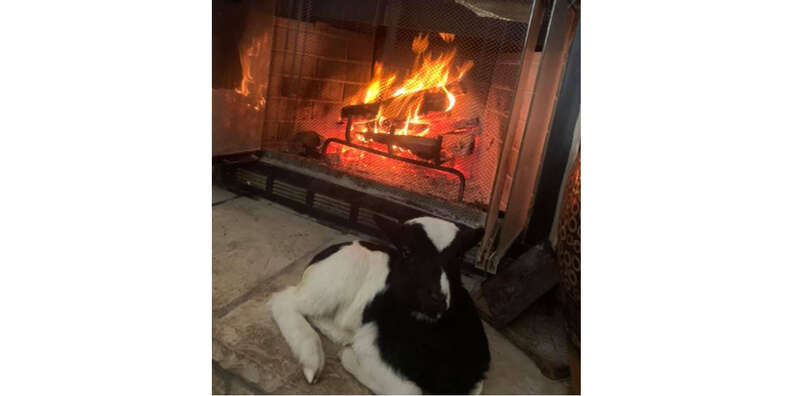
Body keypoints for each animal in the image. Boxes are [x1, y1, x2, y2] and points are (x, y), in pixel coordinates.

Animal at [270, 215, 488, 394]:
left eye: (458, 257)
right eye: (406, 251)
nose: (437, 299)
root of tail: (320, 256)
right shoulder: (371, 345)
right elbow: (406, 390)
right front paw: (348, 356)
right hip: (334, 280)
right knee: (283, 300)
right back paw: (312, 361)